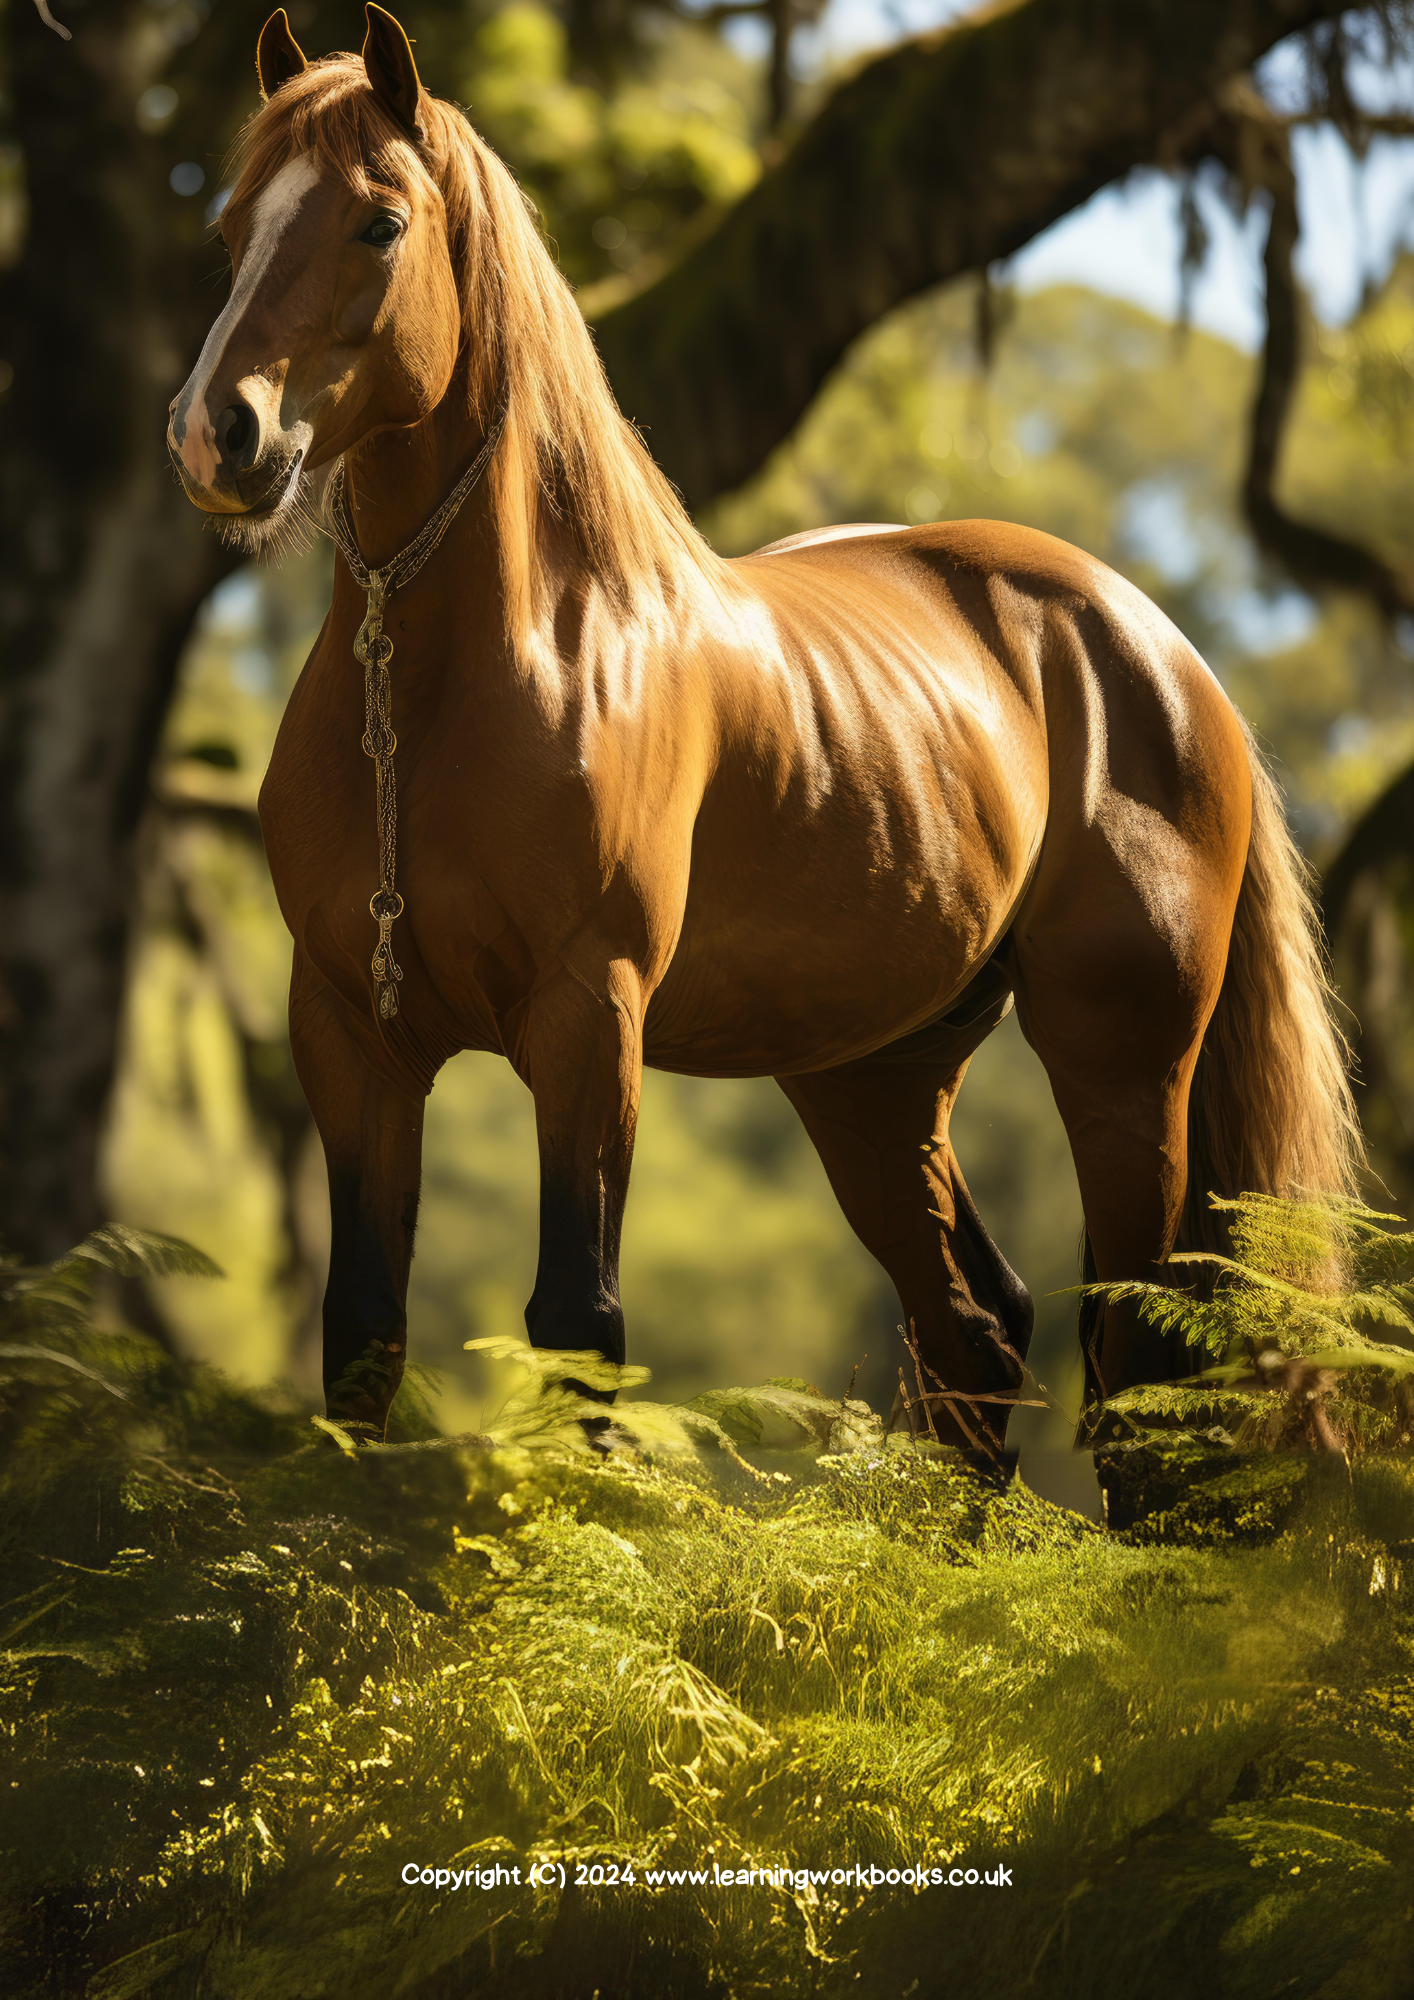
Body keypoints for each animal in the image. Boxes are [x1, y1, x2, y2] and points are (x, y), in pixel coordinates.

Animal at [168, 4, 1360, 1446]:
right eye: (232, 228)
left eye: (378, 221)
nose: (216, 435)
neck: (454, 682)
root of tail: (1159, 648)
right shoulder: (350, 1030)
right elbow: (362, 1337)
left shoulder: (588, 1019)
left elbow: (578, 1328)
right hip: (873, 1075)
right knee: (974, 1333)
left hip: (1123, 1064)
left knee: (1135, 1367)